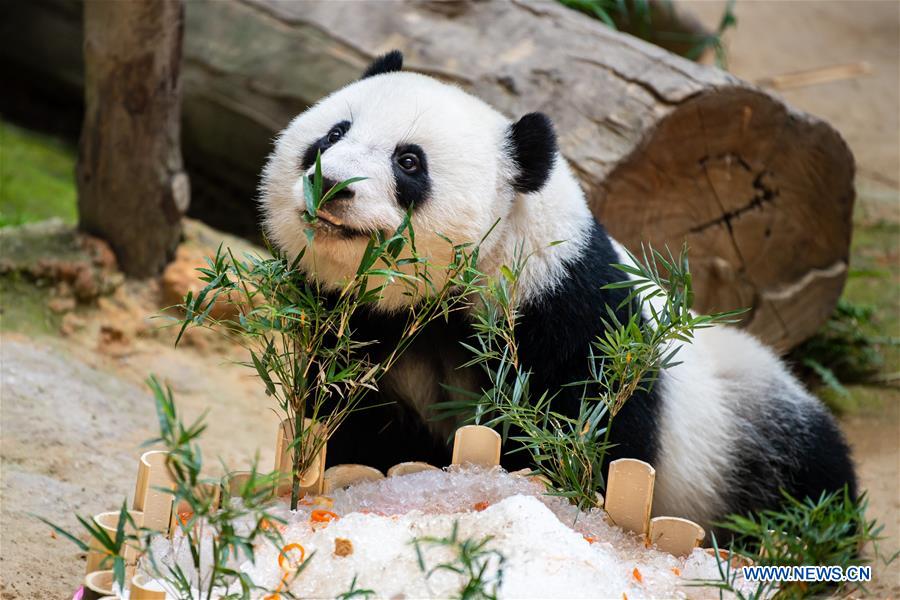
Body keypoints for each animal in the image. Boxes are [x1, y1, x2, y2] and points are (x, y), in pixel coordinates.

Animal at [256, 52, 856, 528]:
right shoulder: (351, 328)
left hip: (748, 425)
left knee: (807, 480)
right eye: (334, 133)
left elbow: (588, 435)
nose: (330, 183)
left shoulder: (566, 312)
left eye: (408, 161)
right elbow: (348, 420)